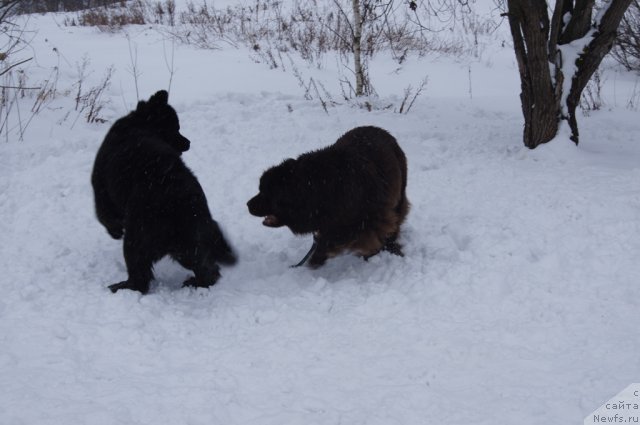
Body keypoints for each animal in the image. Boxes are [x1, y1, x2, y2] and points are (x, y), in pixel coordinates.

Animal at [91, 90, 236, 294]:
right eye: (176, 128)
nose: (188, 143)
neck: (140, 123)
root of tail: (185, 197)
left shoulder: (101, 188)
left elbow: (103, 215)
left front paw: (114, 231)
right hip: (186, 242)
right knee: (207, 267)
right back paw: (196, 283)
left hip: (138, 237)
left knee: (140, 276)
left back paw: (122, 287)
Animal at [248, 124, 408, 266]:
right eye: (260, 189)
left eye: (266, 193)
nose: (248, 204)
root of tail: (381, 130)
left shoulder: (371, 217)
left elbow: (338, 237)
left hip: (398, 194)